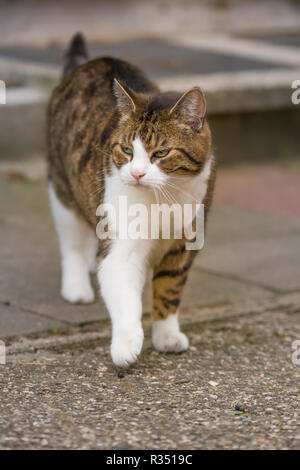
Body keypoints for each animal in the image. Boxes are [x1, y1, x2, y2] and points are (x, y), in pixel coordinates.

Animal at [47, 35, 216, 370]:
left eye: (160, 154)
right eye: (126, 149)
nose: (137, 173)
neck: (165, 199)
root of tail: (91, 62)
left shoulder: (185, 242)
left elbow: (169, 289)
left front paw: (166, 335)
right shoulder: (122, 245)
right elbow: (124, 293)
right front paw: (126, 345)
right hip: (62, 190)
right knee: (73, 241)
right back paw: (77, 286)